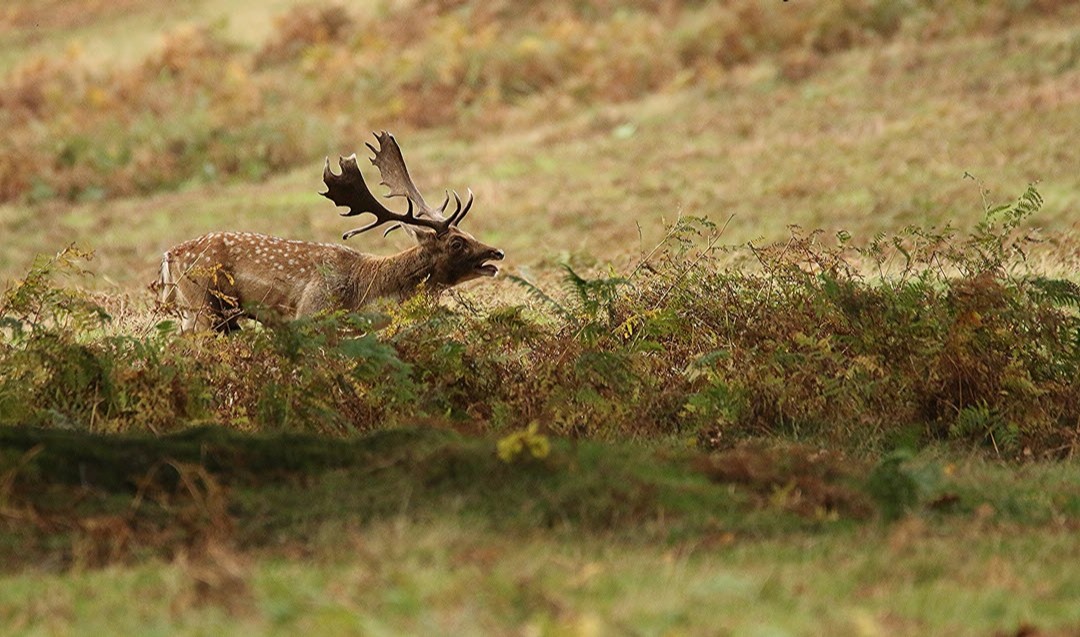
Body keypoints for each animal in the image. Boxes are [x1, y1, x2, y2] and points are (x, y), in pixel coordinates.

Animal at [159, 131, 504, 332]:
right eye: (457, 243)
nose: (497, 252)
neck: (363, 292)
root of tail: (169, 255)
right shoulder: (310, 312)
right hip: (205, 307)